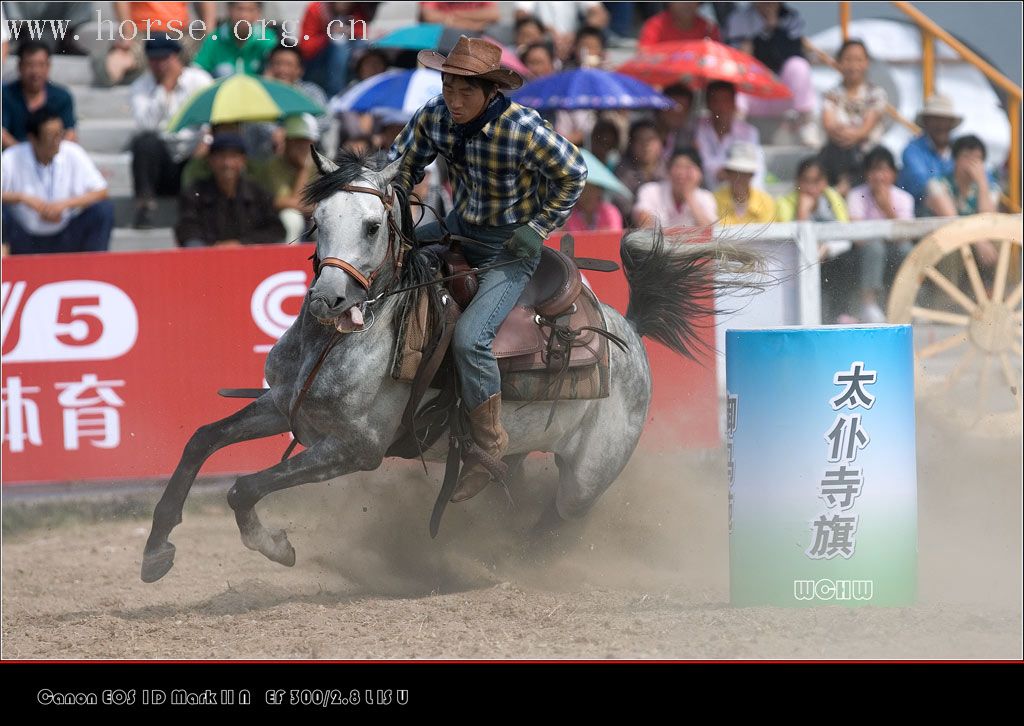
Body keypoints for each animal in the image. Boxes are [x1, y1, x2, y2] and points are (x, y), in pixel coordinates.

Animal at [140, 148, 761, 581]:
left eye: (372, 225)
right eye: (318, 218)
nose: (327, 301)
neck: (344, 341)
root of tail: (627, 329)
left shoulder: (356, 449)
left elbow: (245, 486)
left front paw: (276, 546)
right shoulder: (283, 407)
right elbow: (201, 440)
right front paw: (156, 549)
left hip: (589, 474)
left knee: (558, 518)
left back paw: (508, 564)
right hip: (516, 447)